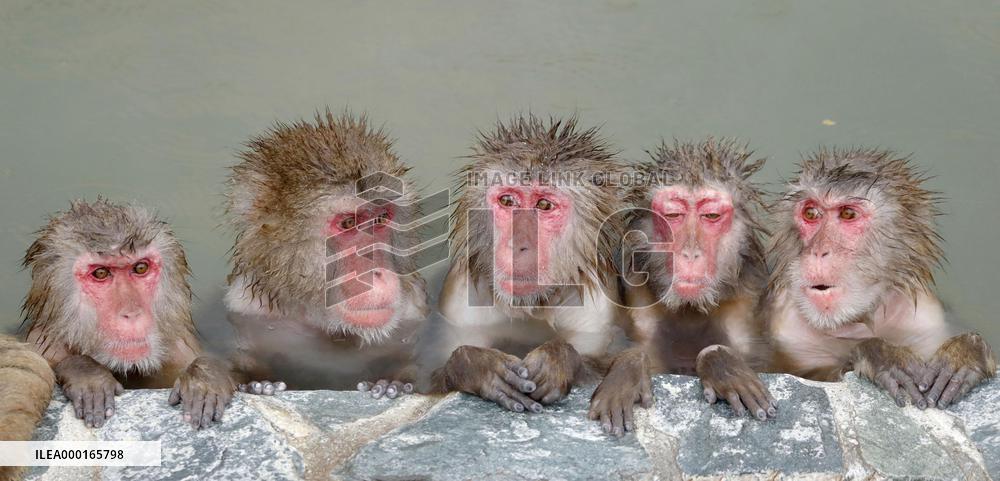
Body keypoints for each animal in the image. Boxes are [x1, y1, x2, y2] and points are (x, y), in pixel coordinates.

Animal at [20, 199, 235, 429]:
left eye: (140, 268)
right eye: (101, 273)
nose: (131, 313)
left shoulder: (180, 351)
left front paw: (205, 377)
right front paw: (87, 374)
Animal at [224, 110, 430, 398]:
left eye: (379, 219)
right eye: (348, 223)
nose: (375, 271)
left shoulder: (413, 310)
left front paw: (393, 384)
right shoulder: (244, 309)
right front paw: (258, 384)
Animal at [430, 114, 629, 414]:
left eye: (544, 205)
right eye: (507, 200)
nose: (517, 244)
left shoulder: (598, 309)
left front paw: (558, 360)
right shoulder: (459, 299)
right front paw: (479, 366)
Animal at [588, 139, 777, 436]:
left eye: (711, 215)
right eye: (673, 215)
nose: (690, 252)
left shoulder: (747, 304)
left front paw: (721, 364)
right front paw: (628, 368)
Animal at [765, 147, 996, 409]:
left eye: (848, 214)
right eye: (811, 213)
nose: (818, 251)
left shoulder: (926, 317)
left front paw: (966, 352)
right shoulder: (784, 326)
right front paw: (879, 354)